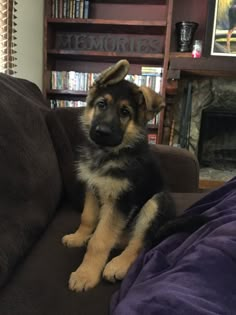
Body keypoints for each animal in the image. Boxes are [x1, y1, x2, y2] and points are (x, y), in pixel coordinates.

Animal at [61, 59, 202, 294]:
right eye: (101, 104)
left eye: (125, 112)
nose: (102, 132)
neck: (108, 154)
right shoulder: (92, 188)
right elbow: (88, 218)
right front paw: (79, 236)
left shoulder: (121, 201)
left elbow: (100, 241)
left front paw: (86, 274)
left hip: (156, 203)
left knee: (140, 242)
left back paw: (118, 264)